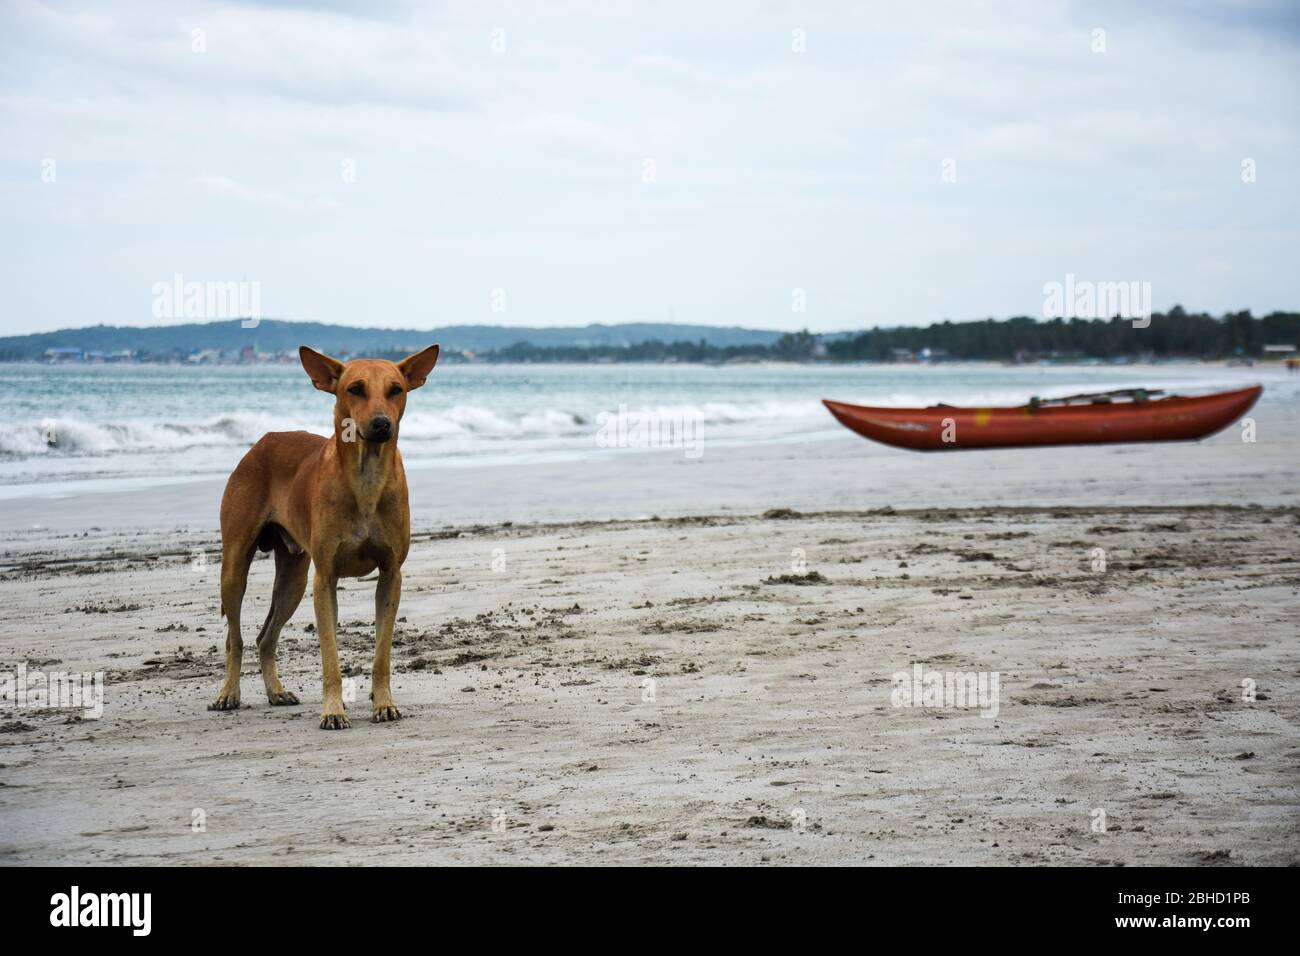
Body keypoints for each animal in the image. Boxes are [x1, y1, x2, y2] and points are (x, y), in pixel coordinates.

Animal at [210, 348, 439, 728]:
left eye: (396, 389)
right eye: (355, 389)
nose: (381, 424)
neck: (366, 475)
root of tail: (264, 440)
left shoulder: (391, 575)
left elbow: (382, 653)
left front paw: (383, 703)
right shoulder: (325, 579)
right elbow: (330, 654)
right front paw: (333, 709)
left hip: (293, 579)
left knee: (265, 638)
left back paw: (276, 691)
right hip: (235, 564)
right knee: (235, 637)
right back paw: (228, 693)